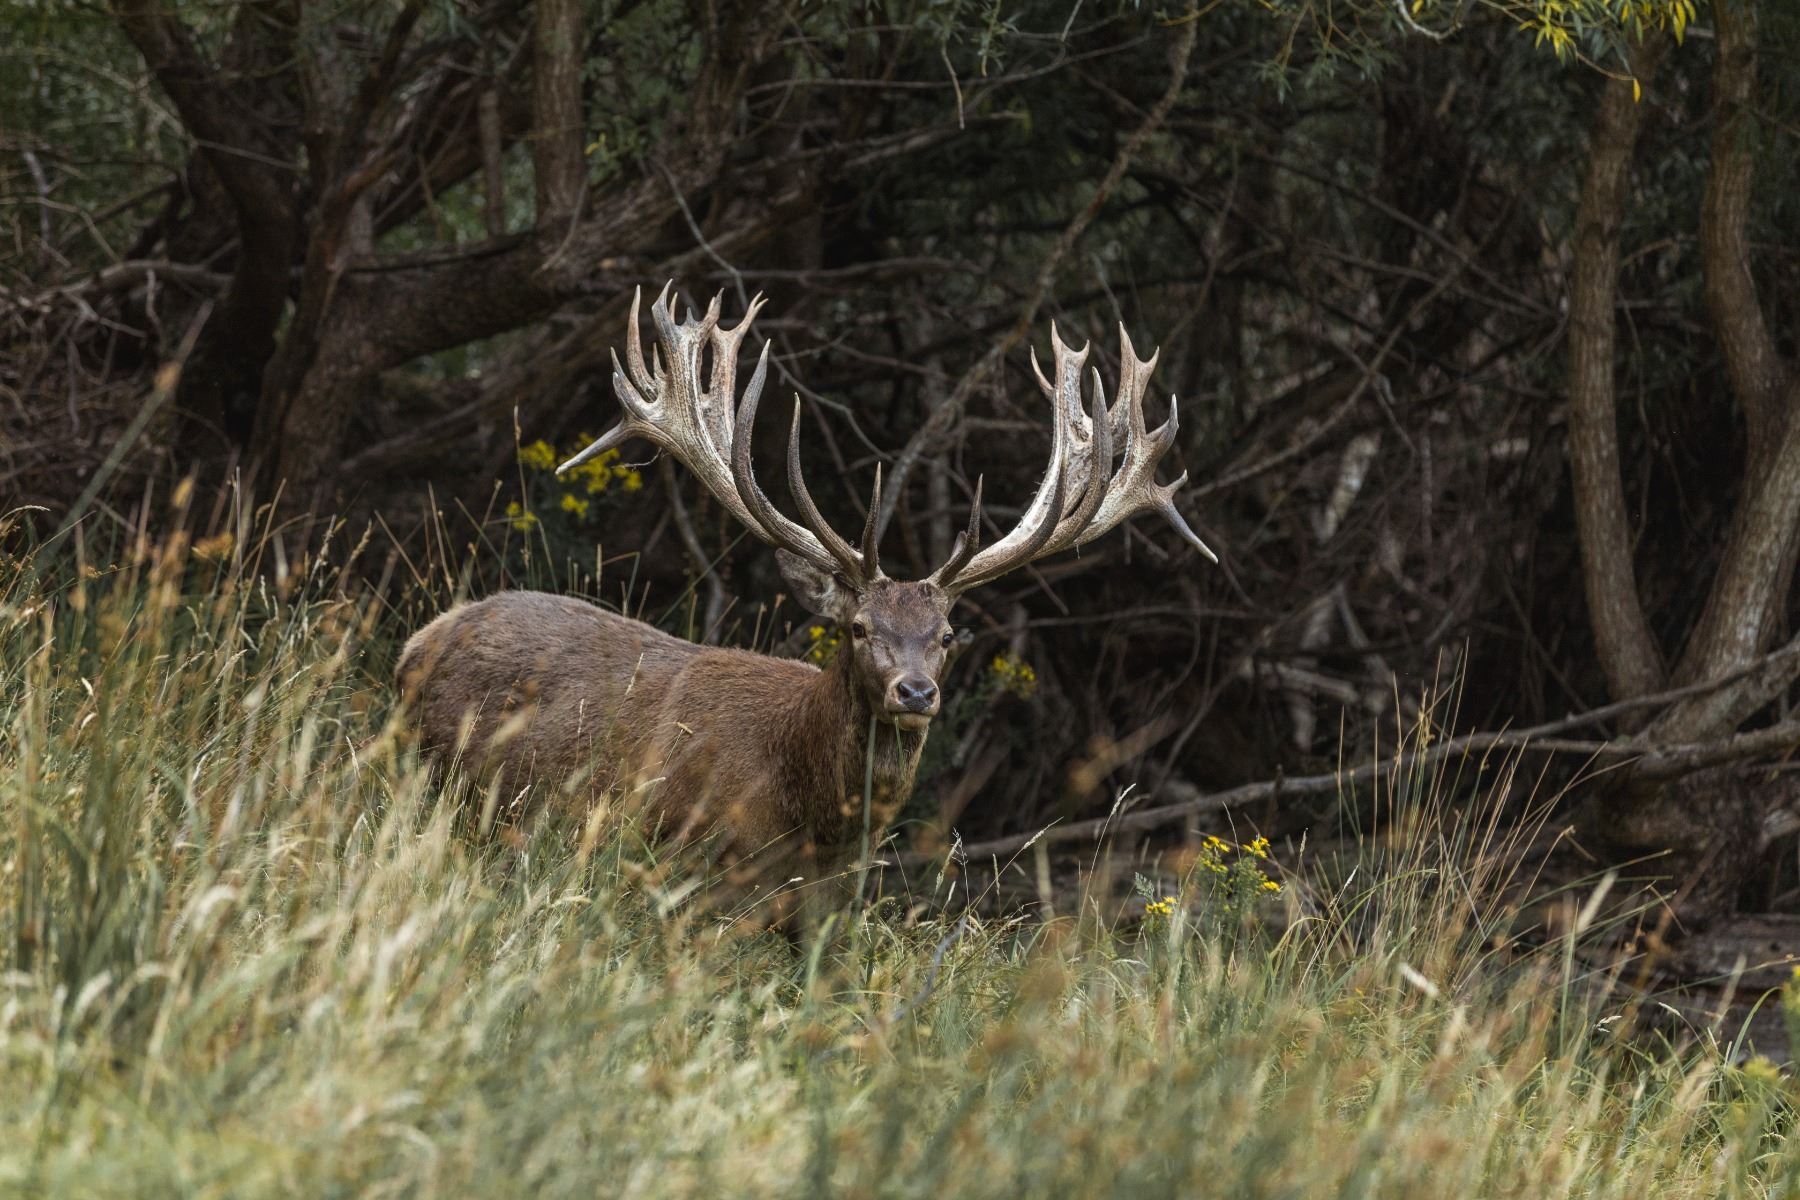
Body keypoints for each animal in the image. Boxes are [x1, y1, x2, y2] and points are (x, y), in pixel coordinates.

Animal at [398, 285, 1214, 915]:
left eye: (948, 634)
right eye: (858, 627)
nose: (915, 693)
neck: (813, 818)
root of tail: (418, 642)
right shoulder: (697, 870)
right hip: (445, 786)